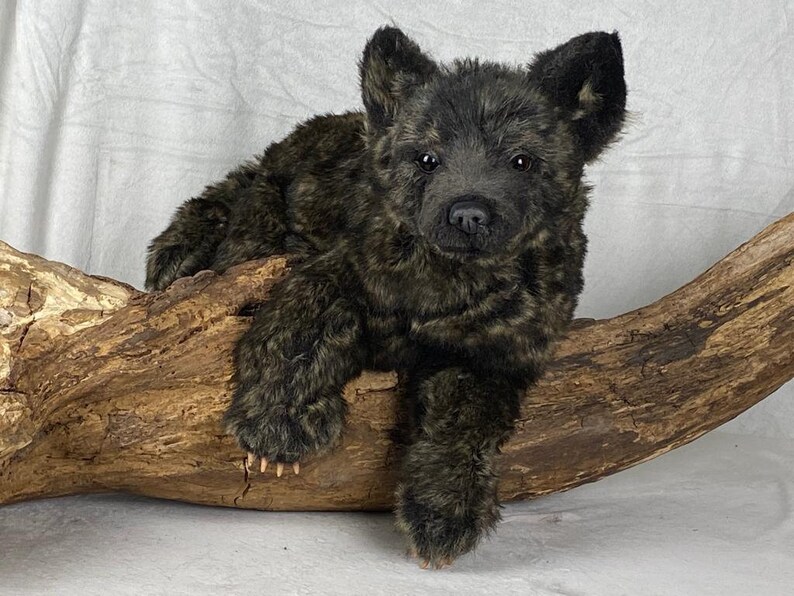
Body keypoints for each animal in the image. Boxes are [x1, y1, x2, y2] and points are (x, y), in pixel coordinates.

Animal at [145, 26, 626, 567]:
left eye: (521, 161)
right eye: (427, 159)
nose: (468, 214)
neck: (447, 284)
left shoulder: (496, 354)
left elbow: (468, 418)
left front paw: (443, 513)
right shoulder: (337, 270)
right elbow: (298, 325)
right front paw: (277, 427)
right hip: (257, 221)